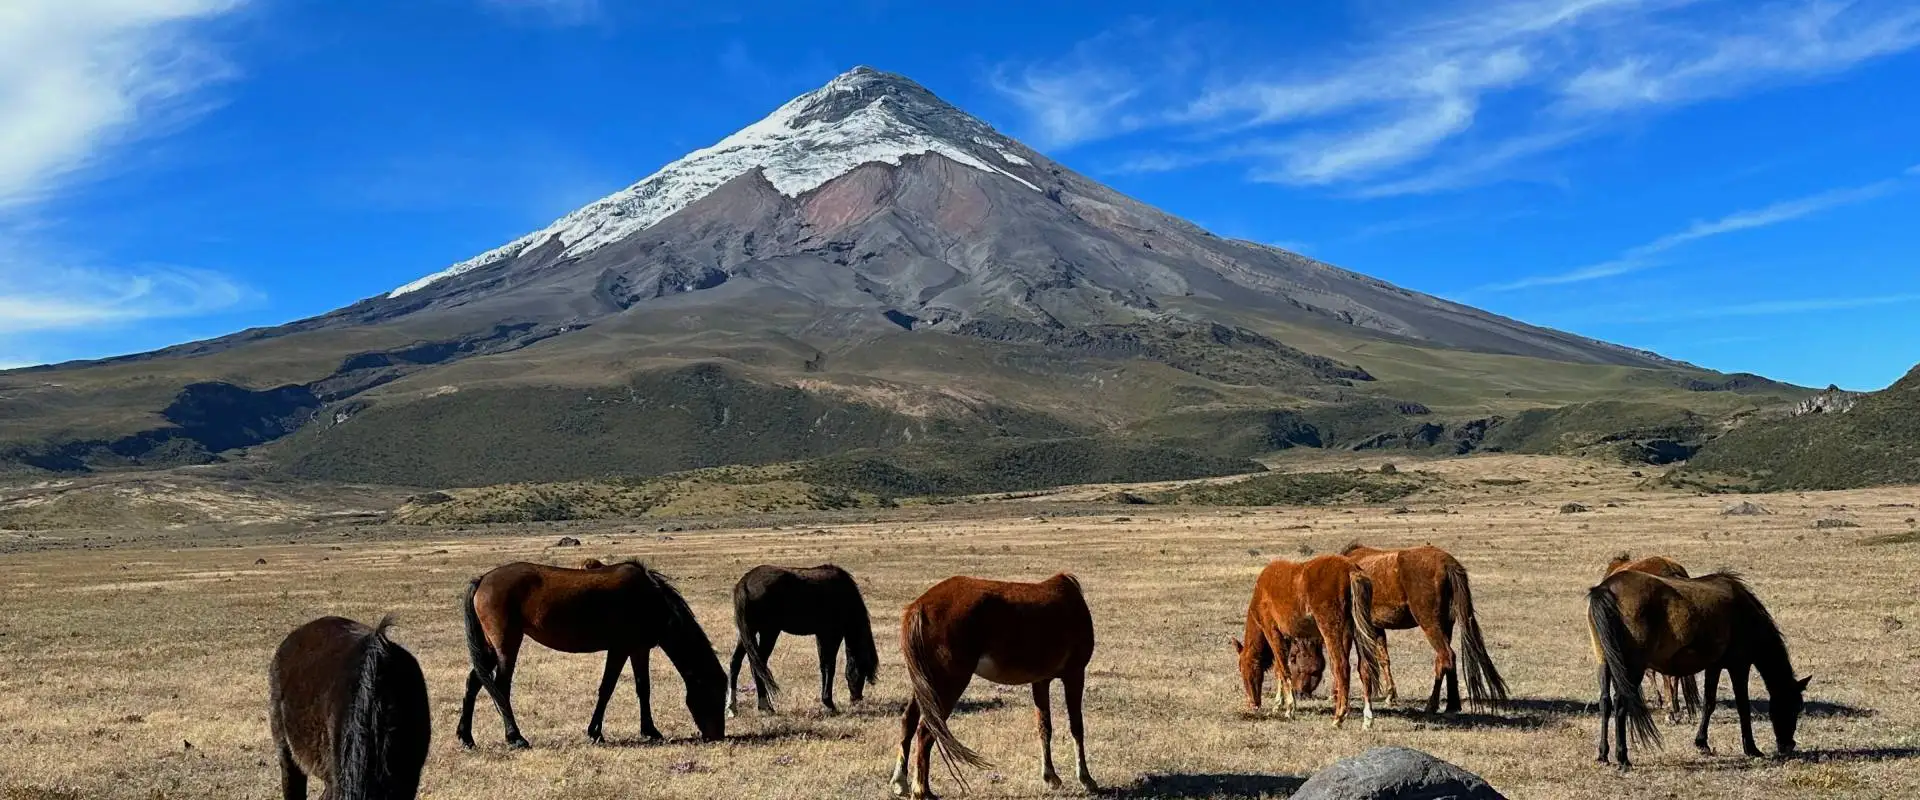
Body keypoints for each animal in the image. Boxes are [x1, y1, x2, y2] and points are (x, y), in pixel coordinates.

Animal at [456, 559, 727, 749]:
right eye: (714, 694)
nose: (718, 736)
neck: (650, 599)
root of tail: (482, 579)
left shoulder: (638, 649)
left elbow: (643, 688)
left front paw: (650, 731)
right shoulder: (619, 649)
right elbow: (607, 688)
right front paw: (595, 732)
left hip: (490, 647)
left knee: (475, 682)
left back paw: (466, 737)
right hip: (506, 645)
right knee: (500, 686)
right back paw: (515, 737)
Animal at [728, 564, 879, 716]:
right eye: (862, 670)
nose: (856, 699)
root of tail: (745, 582)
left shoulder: (821, 635)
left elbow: (823, 666)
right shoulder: (832, 634)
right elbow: (829, 666)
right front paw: (829, 704)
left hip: (748, 633)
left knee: (737, 662)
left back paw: (733, 708)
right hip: (768, 632)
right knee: (758, 666)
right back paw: (765, 706)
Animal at [891, 574, 1097, 799]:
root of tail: (919, 607)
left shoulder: (1041, 681)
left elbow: (1044, 727)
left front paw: (1050, 776)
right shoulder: (1075, 675)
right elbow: (1076, 726)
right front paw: (1086, 779)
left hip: (926, 684)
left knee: (908, 722)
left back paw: (900, 782)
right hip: (947, 684)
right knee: (926, 731)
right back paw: (922, 790)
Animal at [1228, 555, 1385, 729]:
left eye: (1244, 670)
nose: (1253, 704)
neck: (1261, 592)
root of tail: (1351, 570)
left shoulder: (1272, 632)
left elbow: (1283, 669)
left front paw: (1289, 709)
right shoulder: (1287, 637)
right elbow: (1278, 669)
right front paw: (1278, 704)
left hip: (1331, 629)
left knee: (1341, 667)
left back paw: (1338, 717)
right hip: (1355, 630)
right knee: (1364, 668)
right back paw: (1367, 719)